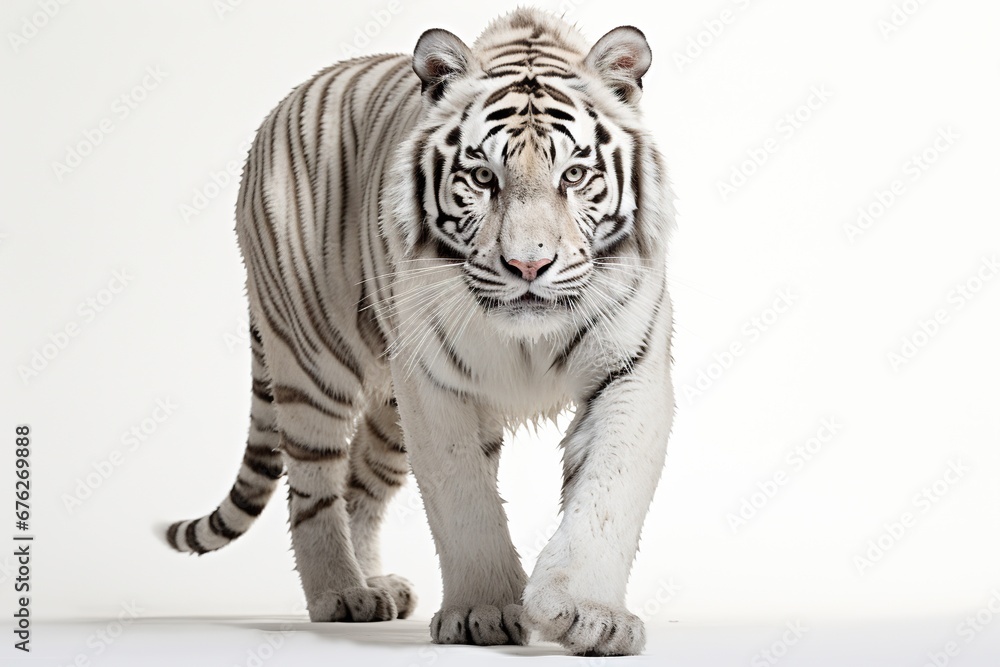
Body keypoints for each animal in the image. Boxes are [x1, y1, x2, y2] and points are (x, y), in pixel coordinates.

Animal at [165, 7, 675, 657]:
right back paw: (339, 594)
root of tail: (291, 97)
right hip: (312, 364)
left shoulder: (629, 372)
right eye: (482, 177)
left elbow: (608, 494)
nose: (529, 265)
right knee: (312, 488)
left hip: (388, 409)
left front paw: (592, 616)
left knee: (359, 482)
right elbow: (464, 497)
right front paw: (483, 612)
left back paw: (374, 586)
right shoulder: (435, 385)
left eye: (576, 175)